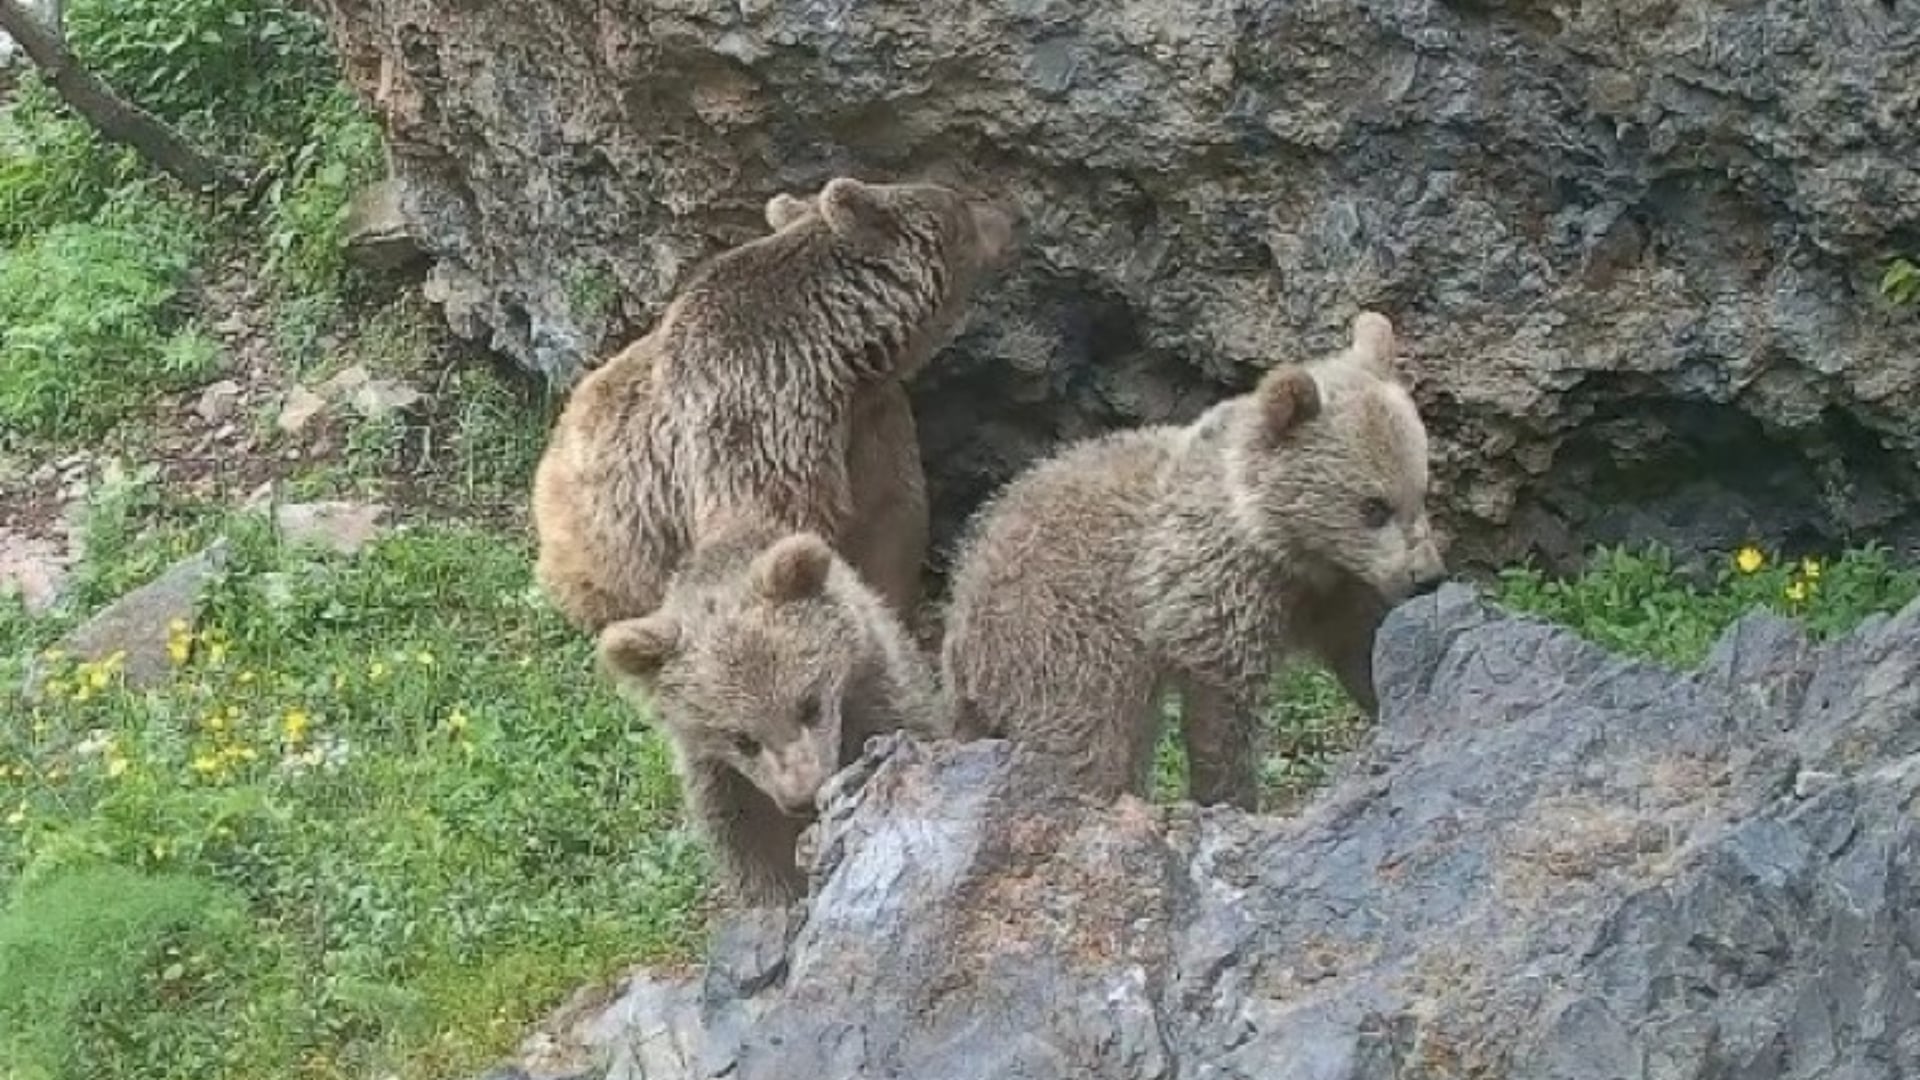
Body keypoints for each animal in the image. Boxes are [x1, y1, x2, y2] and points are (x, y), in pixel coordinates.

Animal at [532, 175, 1016, 636]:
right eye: (959, 204)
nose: (1005, 214)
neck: (840, 358)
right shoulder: (757, 412)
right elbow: (775, 523)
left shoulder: (870, 422)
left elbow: (891, 522)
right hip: (604, 546)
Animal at [596, 523, 947, 907]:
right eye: (740, 738)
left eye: (809, 704)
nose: (802, 794)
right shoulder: (728, 789)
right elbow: (758, 862)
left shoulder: (879, 696)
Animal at [940, 311, 1446, 812]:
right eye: (1373, 506)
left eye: (1420, 491)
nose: (1428, 576)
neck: (1286, 543)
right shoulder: (1210, 588)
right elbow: (1221, 712)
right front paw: (1230, 798)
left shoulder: (1336, 587)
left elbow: (1363, 645)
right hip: (1064, 638)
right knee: (1088, 740)